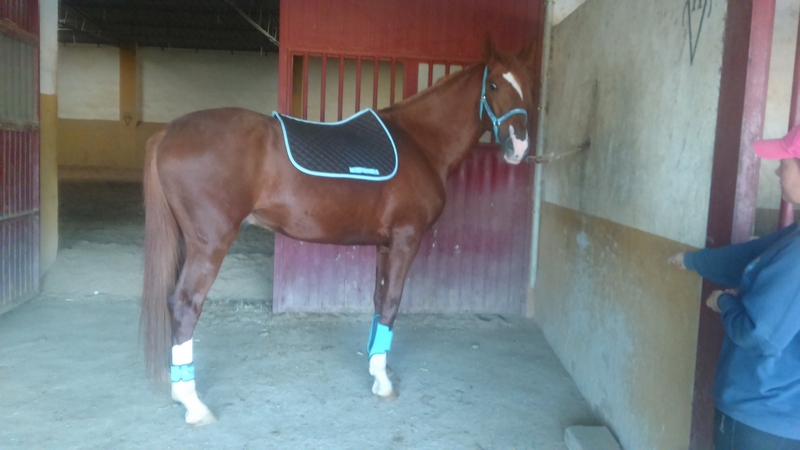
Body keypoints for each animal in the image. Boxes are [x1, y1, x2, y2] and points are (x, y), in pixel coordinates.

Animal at [141, 39, 537, 425]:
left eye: (529, 86)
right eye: (494, 85)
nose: (519, 147)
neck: (421, 142)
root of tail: (169, 131)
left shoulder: (385, 245)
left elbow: (378, 302)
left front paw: (377, 369)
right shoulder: (406, 239)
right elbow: (392, 304)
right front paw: (383, 382)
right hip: (210, 244)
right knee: (185, 305)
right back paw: (194, 404)